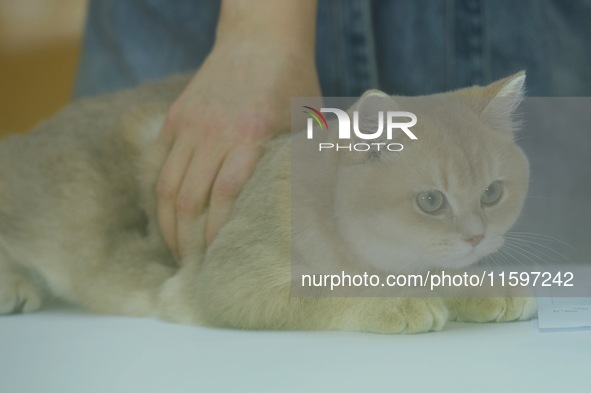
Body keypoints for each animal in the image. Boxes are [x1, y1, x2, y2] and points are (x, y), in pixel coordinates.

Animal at [0, 71, 536, 330]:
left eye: (492, 193)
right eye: (430, 200)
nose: (477, 237)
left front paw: (482, 289)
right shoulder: (227, 286)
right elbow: (327, 292)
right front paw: (395, 303)